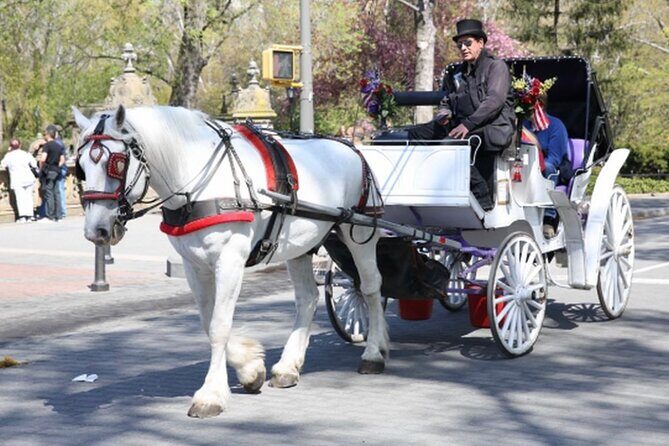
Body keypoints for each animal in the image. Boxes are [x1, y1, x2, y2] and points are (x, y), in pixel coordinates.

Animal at [72, 105, 388, 418]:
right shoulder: (194, 265)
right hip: (300, 245)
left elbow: (219, 326)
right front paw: (250, 368)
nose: (96, 231)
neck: (199, 179)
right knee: (308, 298)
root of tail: (352, 148)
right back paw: (288, 367)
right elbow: (206, 320)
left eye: (117, 163)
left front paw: (211, 394)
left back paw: (374, 352)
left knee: (371, 288)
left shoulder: (230, 260)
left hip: (359, 233)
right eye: (82, 167)